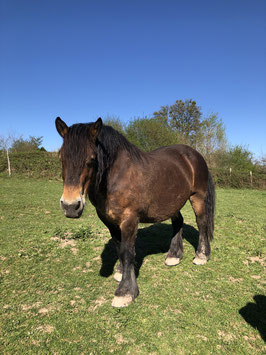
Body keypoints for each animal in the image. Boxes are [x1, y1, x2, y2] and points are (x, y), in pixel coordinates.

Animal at [55, 117, 215, 308]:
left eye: (92, 158)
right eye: (61, 157)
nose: (70, 206)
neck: (116, 176)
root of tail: (195, 155)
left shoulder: (129, 219)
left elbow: (127, 251)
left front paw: (125, 292)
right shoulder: (109, 221)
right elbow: (119, 247)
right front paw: (120, 272)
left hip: (197, 197)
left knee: (202, 223)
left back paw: (201, 256)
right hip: (173, 202)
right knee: (178, 222)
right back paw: (174, 256)